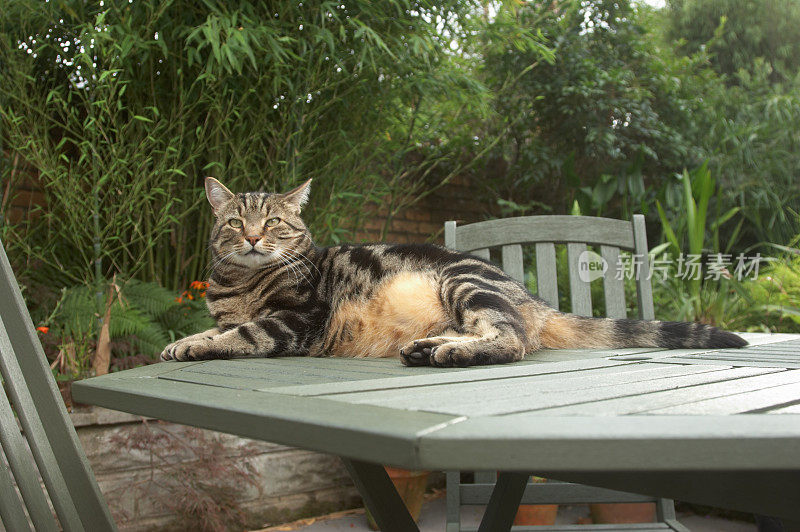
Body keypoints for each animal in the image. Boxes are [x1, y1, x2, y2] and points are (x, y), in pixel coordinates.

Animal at [159, 179, 748, 366]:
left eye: (276, 223)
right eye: (235, 222)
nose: (254, 238)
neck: (238, 284)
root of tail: (533, 297)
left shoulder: (295, 320)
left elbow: (239, 333)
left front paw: (192, 345)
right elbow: (217, 326)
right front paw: (183, 338)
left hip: (462, 283)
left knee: (512, 340)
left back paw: (450, 352)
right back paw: (429, 347)